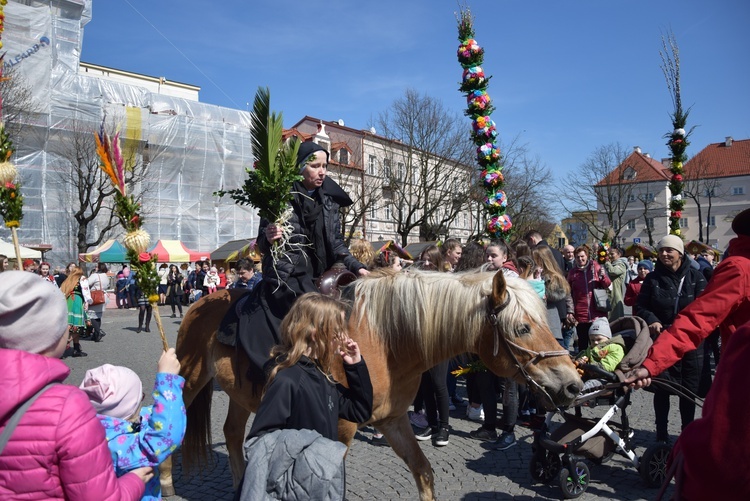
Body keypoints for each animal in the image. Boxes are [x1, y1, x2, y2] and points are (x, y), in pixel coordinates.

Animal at [162, 270, 584, 500]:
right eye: (523, 328)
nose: (574, 384)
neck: (386, 340)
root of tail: (204, 300)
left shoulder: (393, 421)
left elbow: (424, 472)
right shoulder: (340, 431)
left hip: (239, 394)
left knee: (232, 434)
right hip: (191, 378)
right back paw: (164, 484)